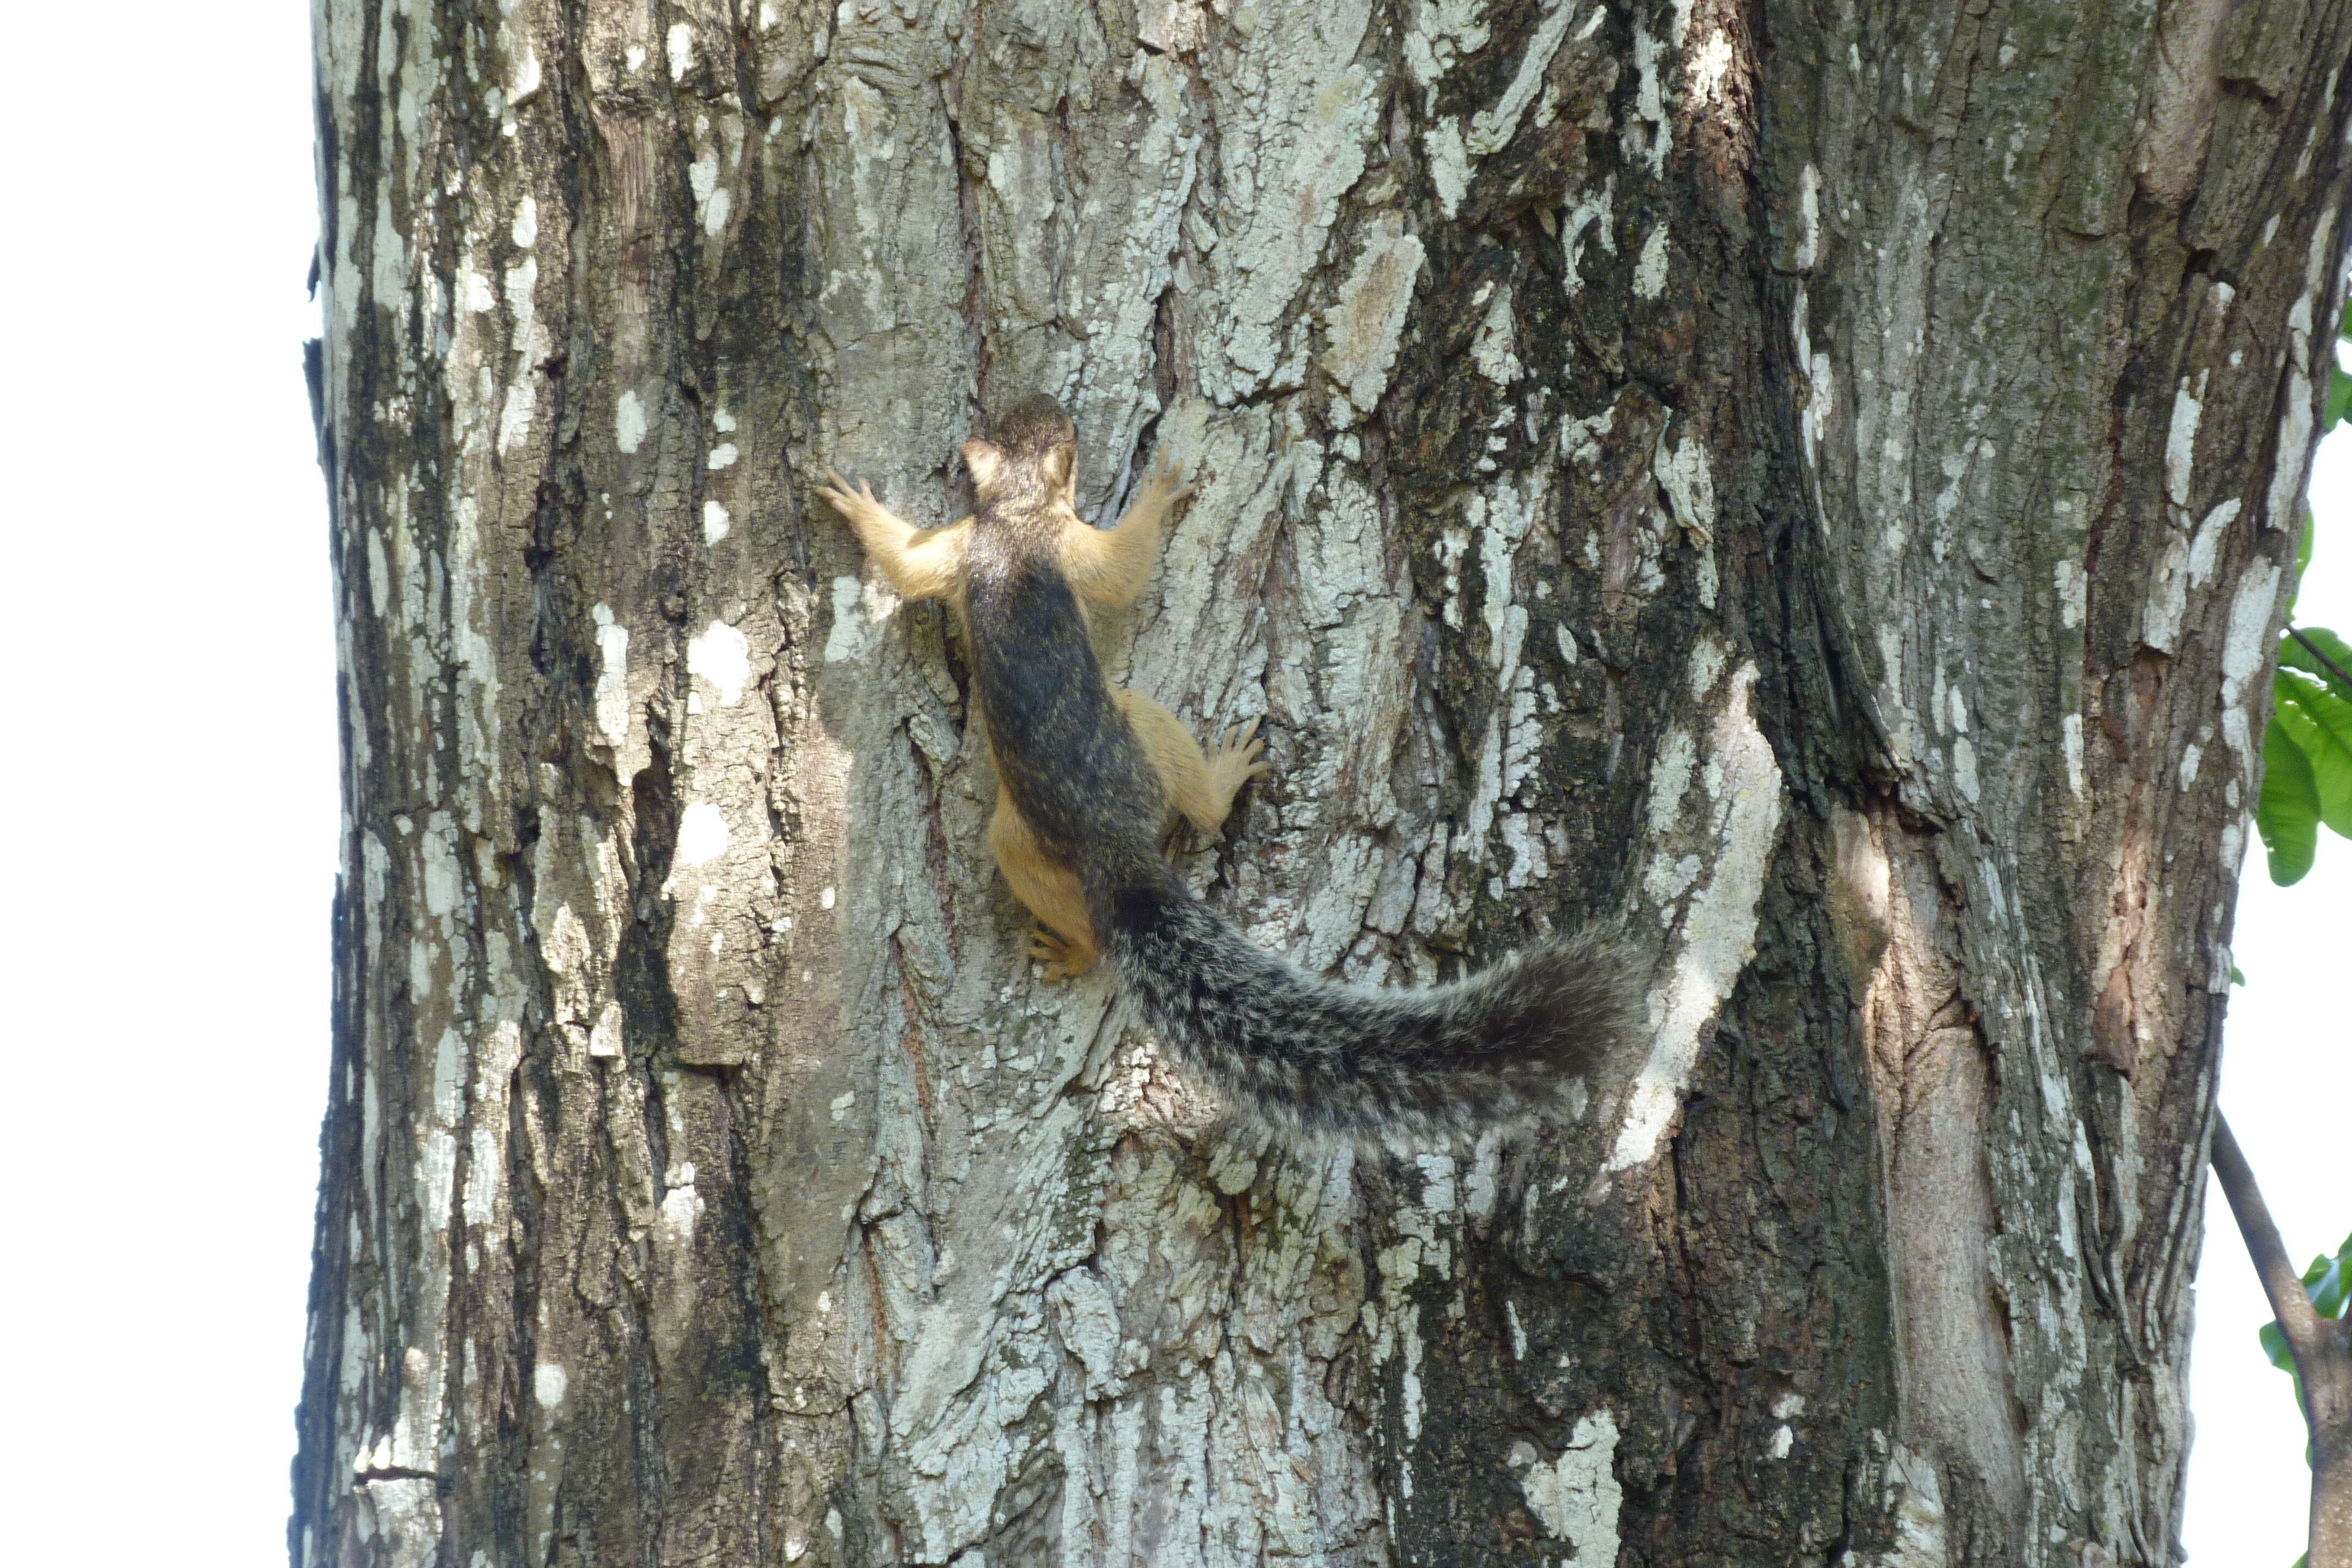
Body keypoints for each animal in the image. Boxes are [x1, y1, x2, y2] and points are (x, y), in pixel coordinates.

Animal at [823, 400, 1637, 1147]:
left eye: (1022, 423)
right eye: (1066, 441)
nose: (1053, 405)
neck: (1015, 514)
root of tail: (1114, 842)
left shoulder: (965, 544)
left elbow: (913, 566)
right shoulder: (1056, 546)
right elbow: (1117, 574)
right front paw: (1160, 493)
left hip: (1026, 831)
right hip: (1134, 731)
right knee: (1179, 826)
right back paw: (1207, 797)